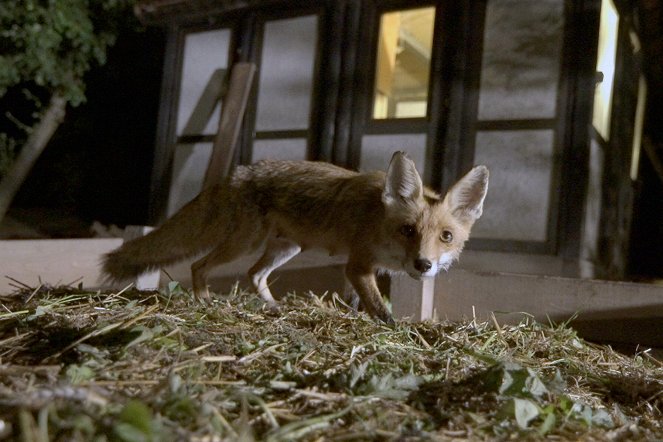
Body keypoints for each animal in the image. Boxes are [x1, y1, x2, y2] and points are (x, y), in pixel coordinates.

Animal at [104, 150, 488, 322]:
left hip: (285, 248)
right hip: (243, 243)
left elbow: (360, 302)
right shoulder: (357, 265)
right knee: (200, 266)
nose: (423, 265)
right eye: (408, 230)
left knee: (253, 274)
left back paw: (273, 307)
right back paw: (204, 302)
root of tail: (238, 172)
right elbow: (381, 310)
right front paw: (400, 332)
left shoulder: (359, 270)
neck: (379, 219)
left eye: (446, 236)